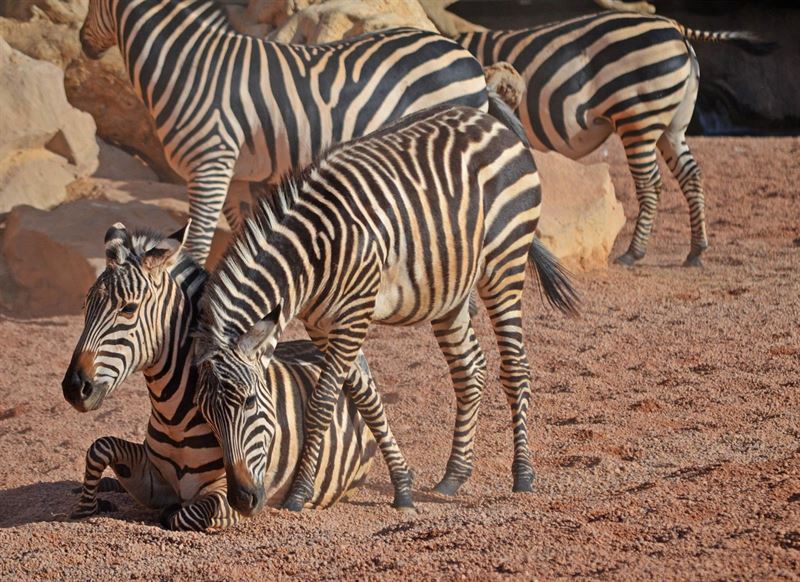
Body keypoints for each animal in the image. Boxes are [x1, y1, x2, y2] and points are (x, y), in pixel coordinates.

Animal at [61, 222, 378, 530]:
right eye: (85, 307)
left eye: (128, 308)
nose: (74, 387)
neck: (173, 416)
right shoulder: (152, 471)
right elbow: (100, 447)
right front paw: (87, 508)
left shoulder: (228, 490)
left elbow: (183, 514)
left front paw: (165, 510)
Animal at [79, 0, 491, 263]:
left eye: (91, 3)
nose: (82, 42)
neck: (185, 67)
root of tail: (463, 52)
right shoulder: (236, 175)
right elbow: (246, 240)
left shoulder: (211, 164)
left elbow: (195, 245)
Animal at [193, 104, 579, 515]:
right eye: (205, 416)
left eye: (250, 402)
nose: (242, 499)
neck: (309, 255)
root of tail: (488, 117)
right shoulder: (322, 324)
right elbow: (367, 399)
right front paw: (403, 485)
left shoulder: (354, 315)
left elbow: (322, 403)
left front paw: (299, 492)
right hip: (450, 287)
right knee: (469, 369)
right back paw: (454, 477)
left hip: (505, 261)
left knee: (516, 367)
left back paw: (522, 475)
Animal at [457, 11, 776, 267]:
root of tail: (673, 25)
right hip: (673, 126)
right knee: (691, 175)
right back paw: (696, 250)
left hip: (639, 119)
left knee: (650, 184)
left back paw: (634, 253)